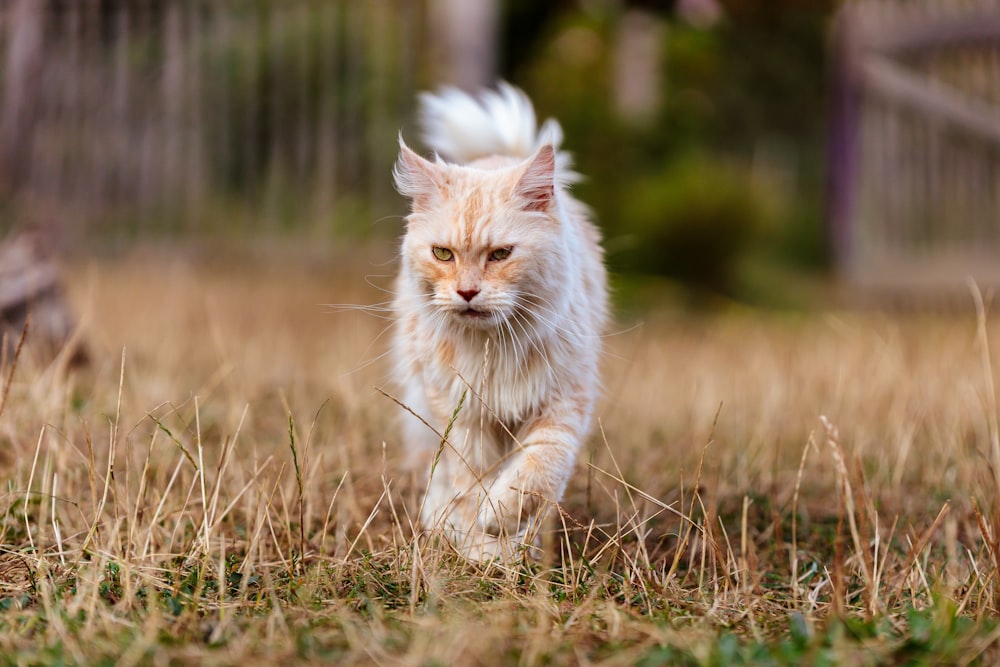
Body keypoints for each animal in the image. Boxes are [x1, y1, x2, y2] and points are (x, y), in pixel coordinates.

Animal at [392, 81, 608, 560]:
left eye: (500, 255)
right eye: (443, 254)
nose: (467, 293)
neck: (495, 348)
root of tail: (496, 157)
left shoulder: (563, 402)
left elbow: (537, 470)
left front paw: (504, 522)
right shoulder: (463, 416)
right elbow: (470, 480)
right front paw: (480, 546)